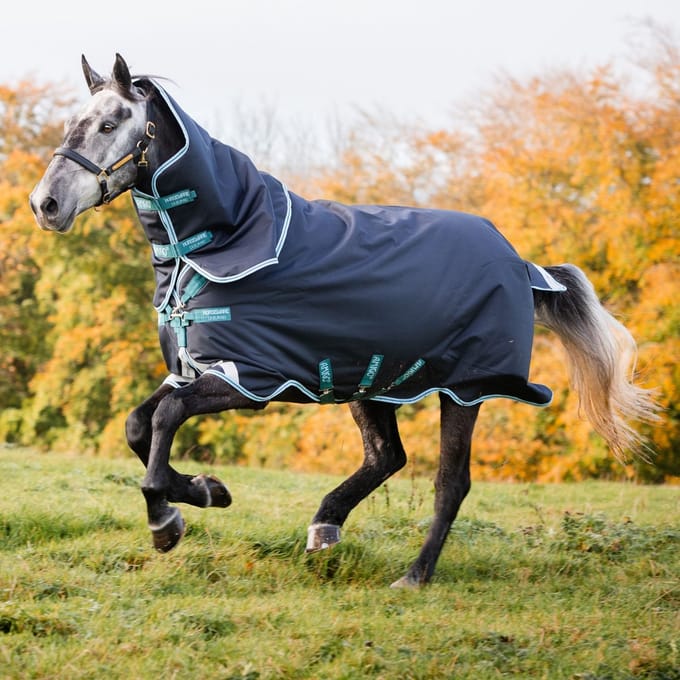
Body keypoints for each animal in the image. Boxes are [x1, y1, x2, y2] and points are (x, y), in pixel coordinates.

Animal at [29, 54, 657, 587]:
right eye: (72, 121)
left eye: (110, 123)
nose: (46, 204)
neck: (221, 241)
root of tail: (520, 264)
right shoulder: (194, 370)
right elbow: (139, 425)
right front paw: (206, 492)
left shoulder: (247, 379)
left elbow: (164, 420)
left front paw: (168, 518)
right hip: (370, 381)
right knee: (387, 456)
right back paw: (325, 525)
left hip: (465, 389)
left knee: (450, 482)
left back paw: (414, 575)